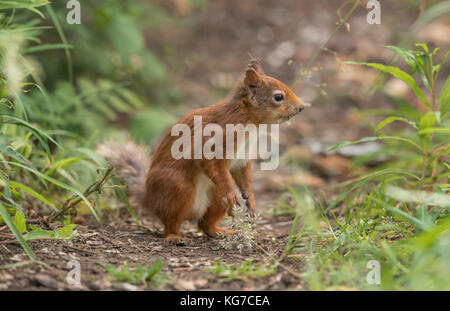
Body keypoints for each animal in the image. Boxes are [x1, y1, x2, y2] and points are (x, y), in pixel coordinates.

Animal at [99, 58, 308, 244]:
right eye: (278, 97)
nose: (301, 107)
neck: (247, 119)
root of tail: (149, 199)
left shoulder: (242, 158)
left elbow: (244, 179)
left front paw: (251, 202)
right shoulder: (216, 143)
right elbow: (211, 164)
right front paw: (232, 195)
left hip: (213, 197)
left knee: (205, 224)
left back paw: (222, 232)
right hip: (177, 189)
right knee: (171, 221)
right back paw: (175, 237)